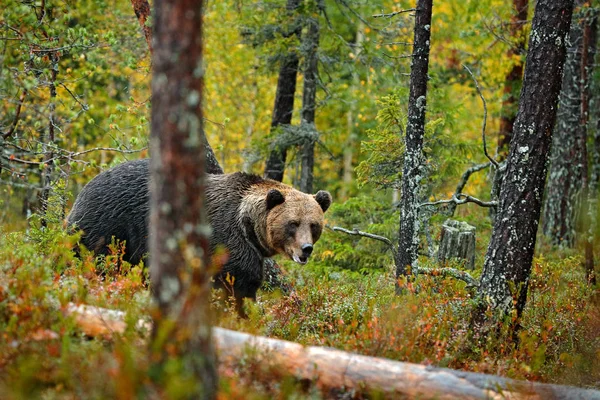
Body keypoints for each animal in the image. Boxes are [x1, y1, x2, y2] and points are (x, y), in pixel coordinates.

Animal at [71, 159, 336, 312]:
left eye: (314, 225)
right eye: (293, 223)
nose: (306, 249)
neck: (248, 226)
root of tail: (88, 184)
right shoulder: (227, 241)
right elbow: (237, 284)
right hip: (109, 224)